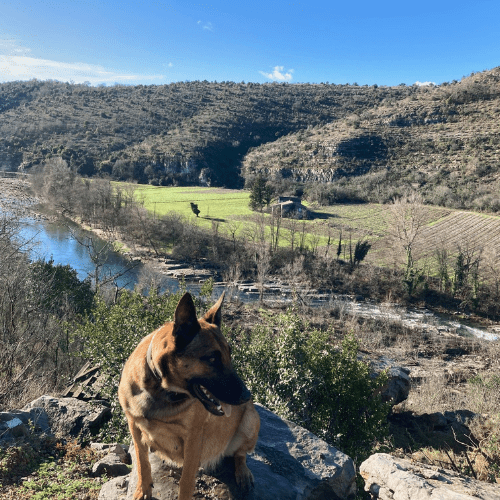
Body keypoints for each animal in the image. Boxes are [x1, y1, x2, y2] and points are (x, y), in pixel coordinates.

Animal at [118, 292, 260, 500]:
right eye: (212, 359)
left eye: (229, 355)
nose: (247, 396)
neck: (160, 388)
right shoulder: (134, 426)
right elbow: (142, 462)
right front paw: (143, 490)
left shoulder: (193, 439)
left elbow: (185, 482)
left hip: (250, 422)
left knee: (240, 454)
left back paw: (243, 473)